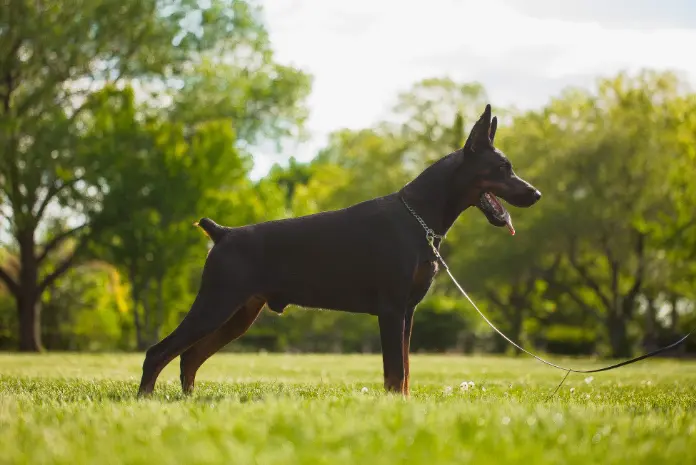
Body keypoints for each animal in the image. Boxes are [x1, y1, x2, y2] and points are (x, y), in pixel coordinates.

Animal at [137, 102, 544, 396]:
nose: (536, 193)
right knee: (158, 352)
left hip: (240, 313)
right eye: (503, 167)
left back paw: (189, 400)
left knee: (189, 356)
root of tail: (222, 233)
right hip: (216, 301)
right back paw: (147, 399)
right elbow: (394, 371)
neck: (420, 219)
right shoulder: (391, 309)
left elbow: (405, 371)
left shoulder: (408, 312)